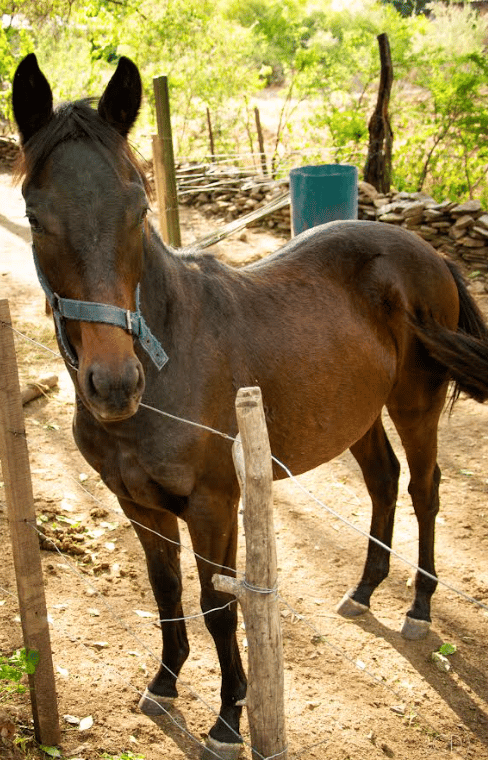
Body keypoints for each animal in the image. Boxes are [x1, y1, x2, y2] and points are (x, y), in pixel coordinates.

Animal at [12, 53, 488, 756]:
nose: (115, 384)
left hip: (414, 405)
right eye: (35, 216)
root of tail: (425, 253)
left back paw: (418, 608)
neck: (169, 364)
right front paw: (164, 682)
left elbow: (218, 605)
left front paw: (229, 716)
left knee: (424, 490)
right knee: (384, 481)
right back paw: (364, 591)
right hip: (357, 415)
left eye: (138, 207)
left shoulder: (214, 506)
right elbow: (166, 592)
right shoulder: (137, 504)